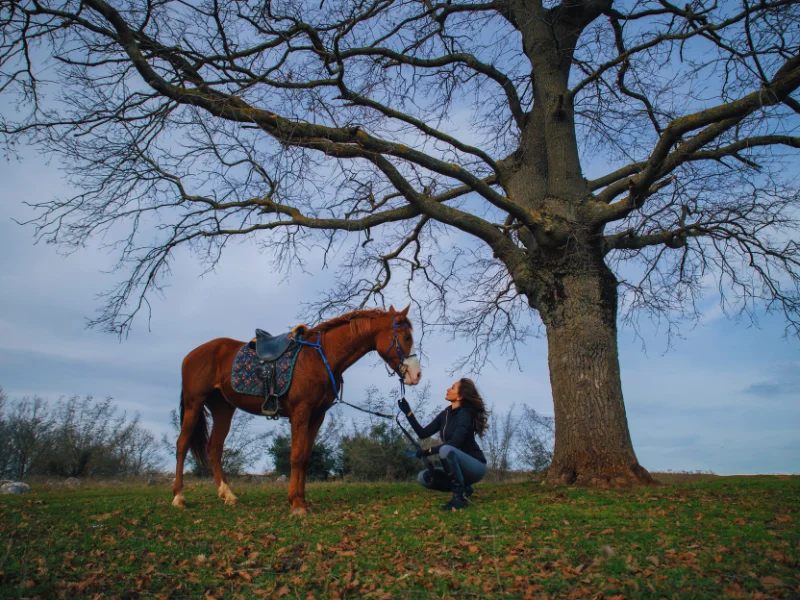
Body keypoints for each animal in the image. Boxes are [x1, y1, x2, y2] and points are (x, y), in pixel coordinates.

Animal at [173, 305, 421, 515]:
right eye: (406, 337)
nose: (416, 375)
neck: (320, 358)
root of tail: (191, 355)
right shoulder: (301, 412)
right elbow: (296, 456)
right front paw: (296, 504)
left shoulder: (317, 416)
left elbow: (305, 457)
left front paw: (302, 500)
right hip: (195, 404)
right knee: (182, 445)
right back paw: (179, 497)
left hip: (223, 409)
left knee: (214, 449)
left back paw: (228, 495)